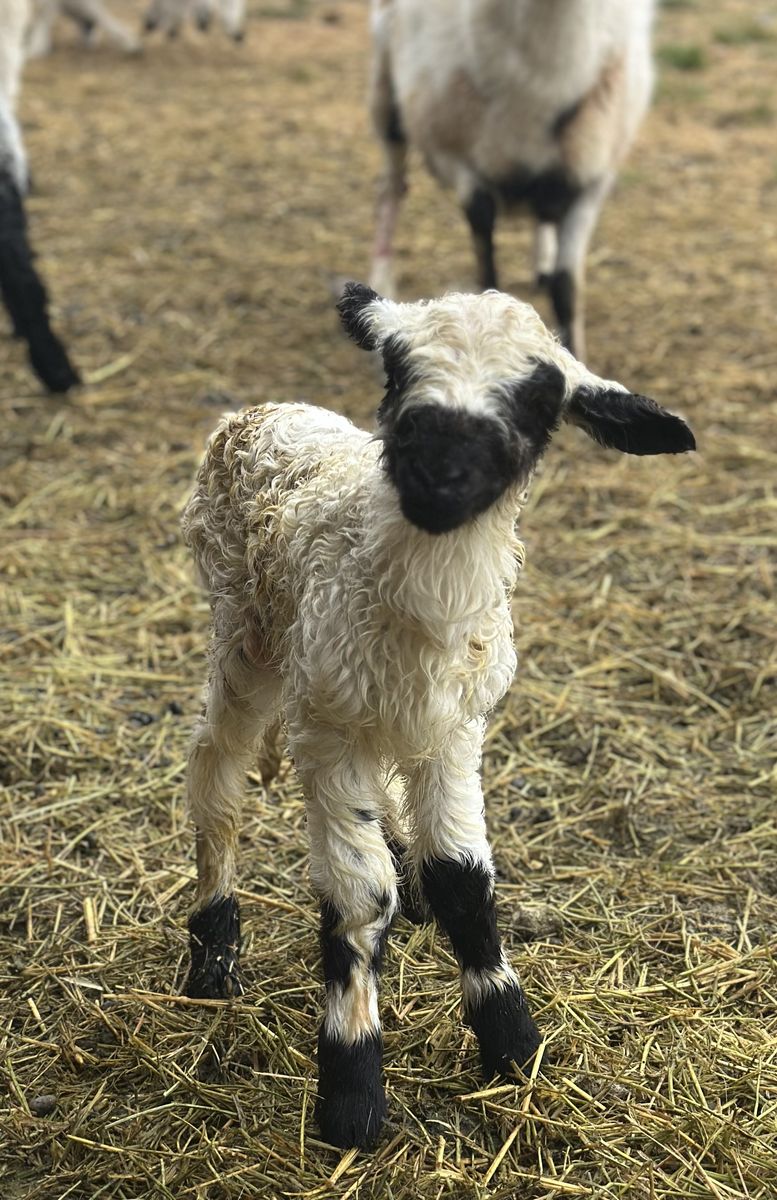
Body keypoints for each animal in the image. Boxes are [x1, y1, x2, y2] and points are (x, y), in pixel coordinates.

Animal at [180, 282, 695, 1149]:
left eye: (540, 398)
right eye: (394, 367)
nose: (435, 472)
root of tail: (256, 412)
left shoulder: (456, 730)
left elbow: (462, 879)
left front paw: (511, 1038)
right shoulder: (330, 730)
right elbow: (359, 898)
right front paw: (352, 1088)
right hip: (247, 636)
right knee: (215, 770)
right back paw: (212, 953)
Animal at [369, 0, 656, 359]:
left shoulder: (591, 178)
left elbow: (566, 287)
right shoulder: (457, 160)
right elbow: (488, 268)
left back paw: (542, 261)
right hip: (386, 93)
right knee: (391, 189)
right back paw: (381, 277)